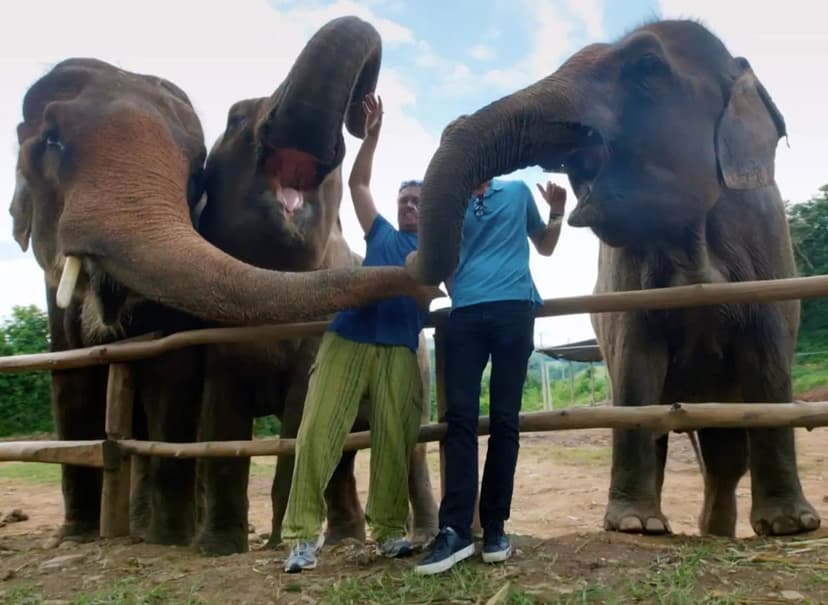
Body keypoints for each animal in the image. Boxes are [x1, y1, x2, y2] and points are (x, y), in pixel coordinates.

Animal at [9, 57, 431, 545]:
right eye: (51, 139)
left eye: (196, 170)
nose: (361, 113)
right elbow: (75, 385)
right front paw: (86, 538)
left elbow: (284, 407)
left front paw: (202, 542)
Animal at [193, 15, 438, 556]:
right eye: (234, 119)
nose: (360, 114)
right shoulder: (215, 341)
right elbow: (223, 422)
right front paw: (219, 547)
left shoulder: (316, 331)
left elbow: (299, 414)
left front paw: (275, 543)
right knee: (345, 453)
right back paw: (347, 536)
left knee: (409, 447)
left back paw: (422, 532)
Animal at [407, 19, 821, 538]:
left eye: (647, 66)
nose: (452, 121)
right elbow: (635, 363)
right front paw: (635, 524)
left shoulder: (768, 244)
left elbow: (768, 359)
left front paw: (793, 524)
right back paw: (701, 528)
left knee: (726, 454)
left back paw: (717, 531)